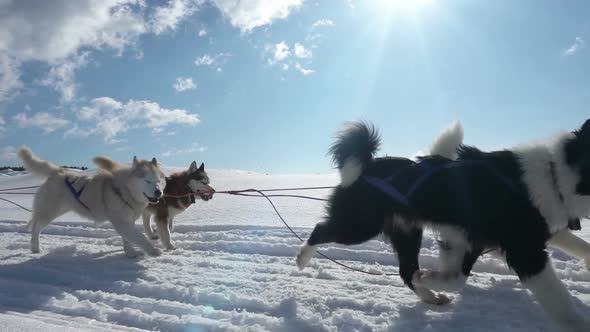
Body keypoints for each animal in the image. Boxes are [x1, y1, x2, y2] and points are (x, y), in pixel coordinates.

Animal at [298, 120, 590, 330]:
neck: (555, 175)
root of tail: (368, 164)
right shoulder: (523, 250)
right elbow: (558, 298)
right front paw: (577, 323)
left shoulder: (468, 241)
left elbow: (457, 278)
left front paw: (432, 278)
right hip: (359, 226)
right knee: (319, 231)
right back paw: (302, 258)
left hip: (407, 233)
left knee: (406, 272)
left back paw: (430, 296)